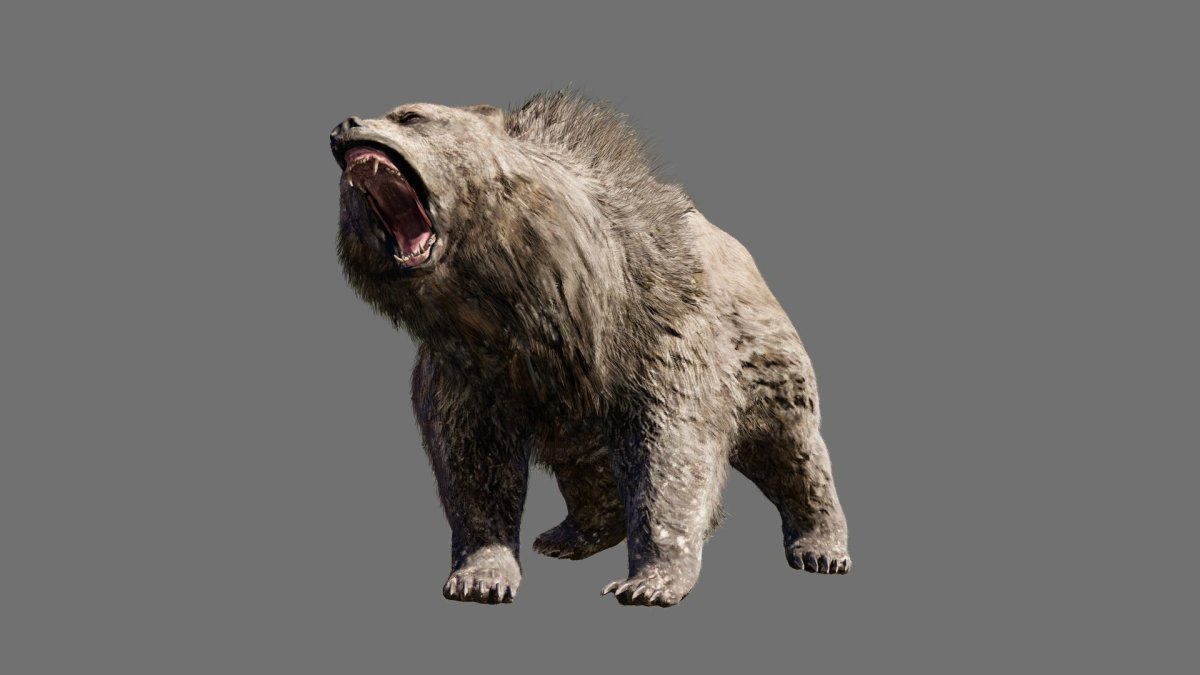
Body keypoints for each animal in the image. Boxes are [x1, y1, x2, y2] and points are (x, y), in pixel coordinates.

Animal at [329, 91, 851, 607]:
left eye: (410, 115)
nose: (344, 125)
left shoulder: (658, 338)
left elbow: (670, 456)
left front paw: (647, 582)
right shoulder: (466, 369)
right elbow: (472, 464)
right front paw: (480, 575)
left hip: (767, 360)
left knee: (793, 452)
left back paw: (822, 548)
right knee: (586, 468)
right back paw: (567, 535)